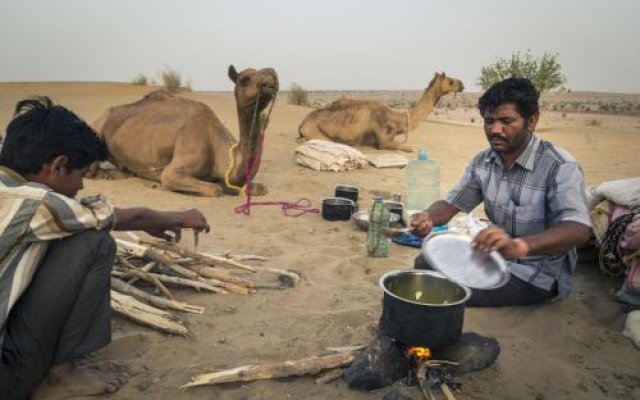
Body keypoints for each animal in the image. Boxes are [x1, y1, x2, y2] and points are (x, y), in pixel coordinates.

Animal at [90, 65, 278, 197]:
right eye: (244, 79)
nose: (271, 73)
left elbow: (261, 188)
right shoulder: (171, 172)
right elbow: (214, 189)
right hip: (97, 129)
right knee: (91, 171)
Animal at [298, 72, 462, 152]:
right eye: (451, 81)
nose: (462, 84)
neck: (397, 118)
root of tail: (302, 124)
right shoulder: (383, 141)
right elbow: (409, 149)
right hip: (318, 135)